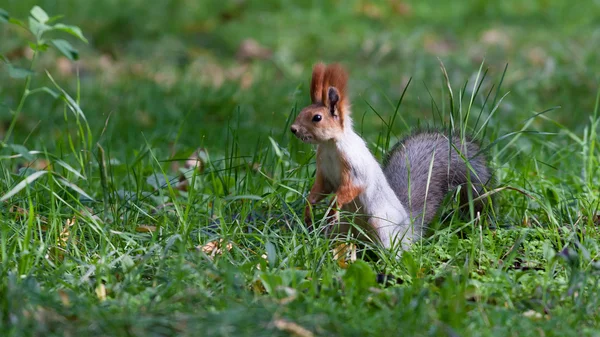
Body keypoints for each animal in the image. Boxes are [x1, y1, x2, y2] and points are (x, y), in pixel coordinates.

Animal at [290, 63, 492, 253]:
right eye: (302, 111)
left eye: (317, 117)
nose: (293, 129)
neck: (330, 146)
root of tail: (409, 229)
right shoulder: (324, 172)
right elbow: (321, 188)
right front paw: (309, 207)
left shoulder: (355, 167)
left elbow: (352, 187)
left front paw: (334, 204)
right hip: (343, 228)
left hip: (380, 225)